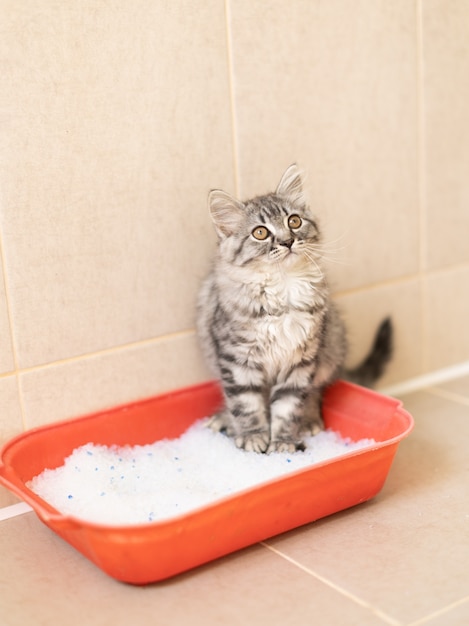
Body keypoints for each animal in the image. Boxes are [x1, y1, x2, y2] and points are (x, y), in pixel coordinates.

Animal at [197, 163, 392, 450]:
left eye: (294, 221)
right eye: (260, 232)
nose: (287, 241)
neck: (283, 286)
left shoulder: (301, 360)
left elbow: (288, 405)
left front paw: (283, 442)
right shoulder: (237, 360)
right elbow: (245, 403)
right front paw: (253, 437)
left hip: (329, 348)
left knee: (315, 392)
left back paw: (309, 420)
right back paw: (225, 420)